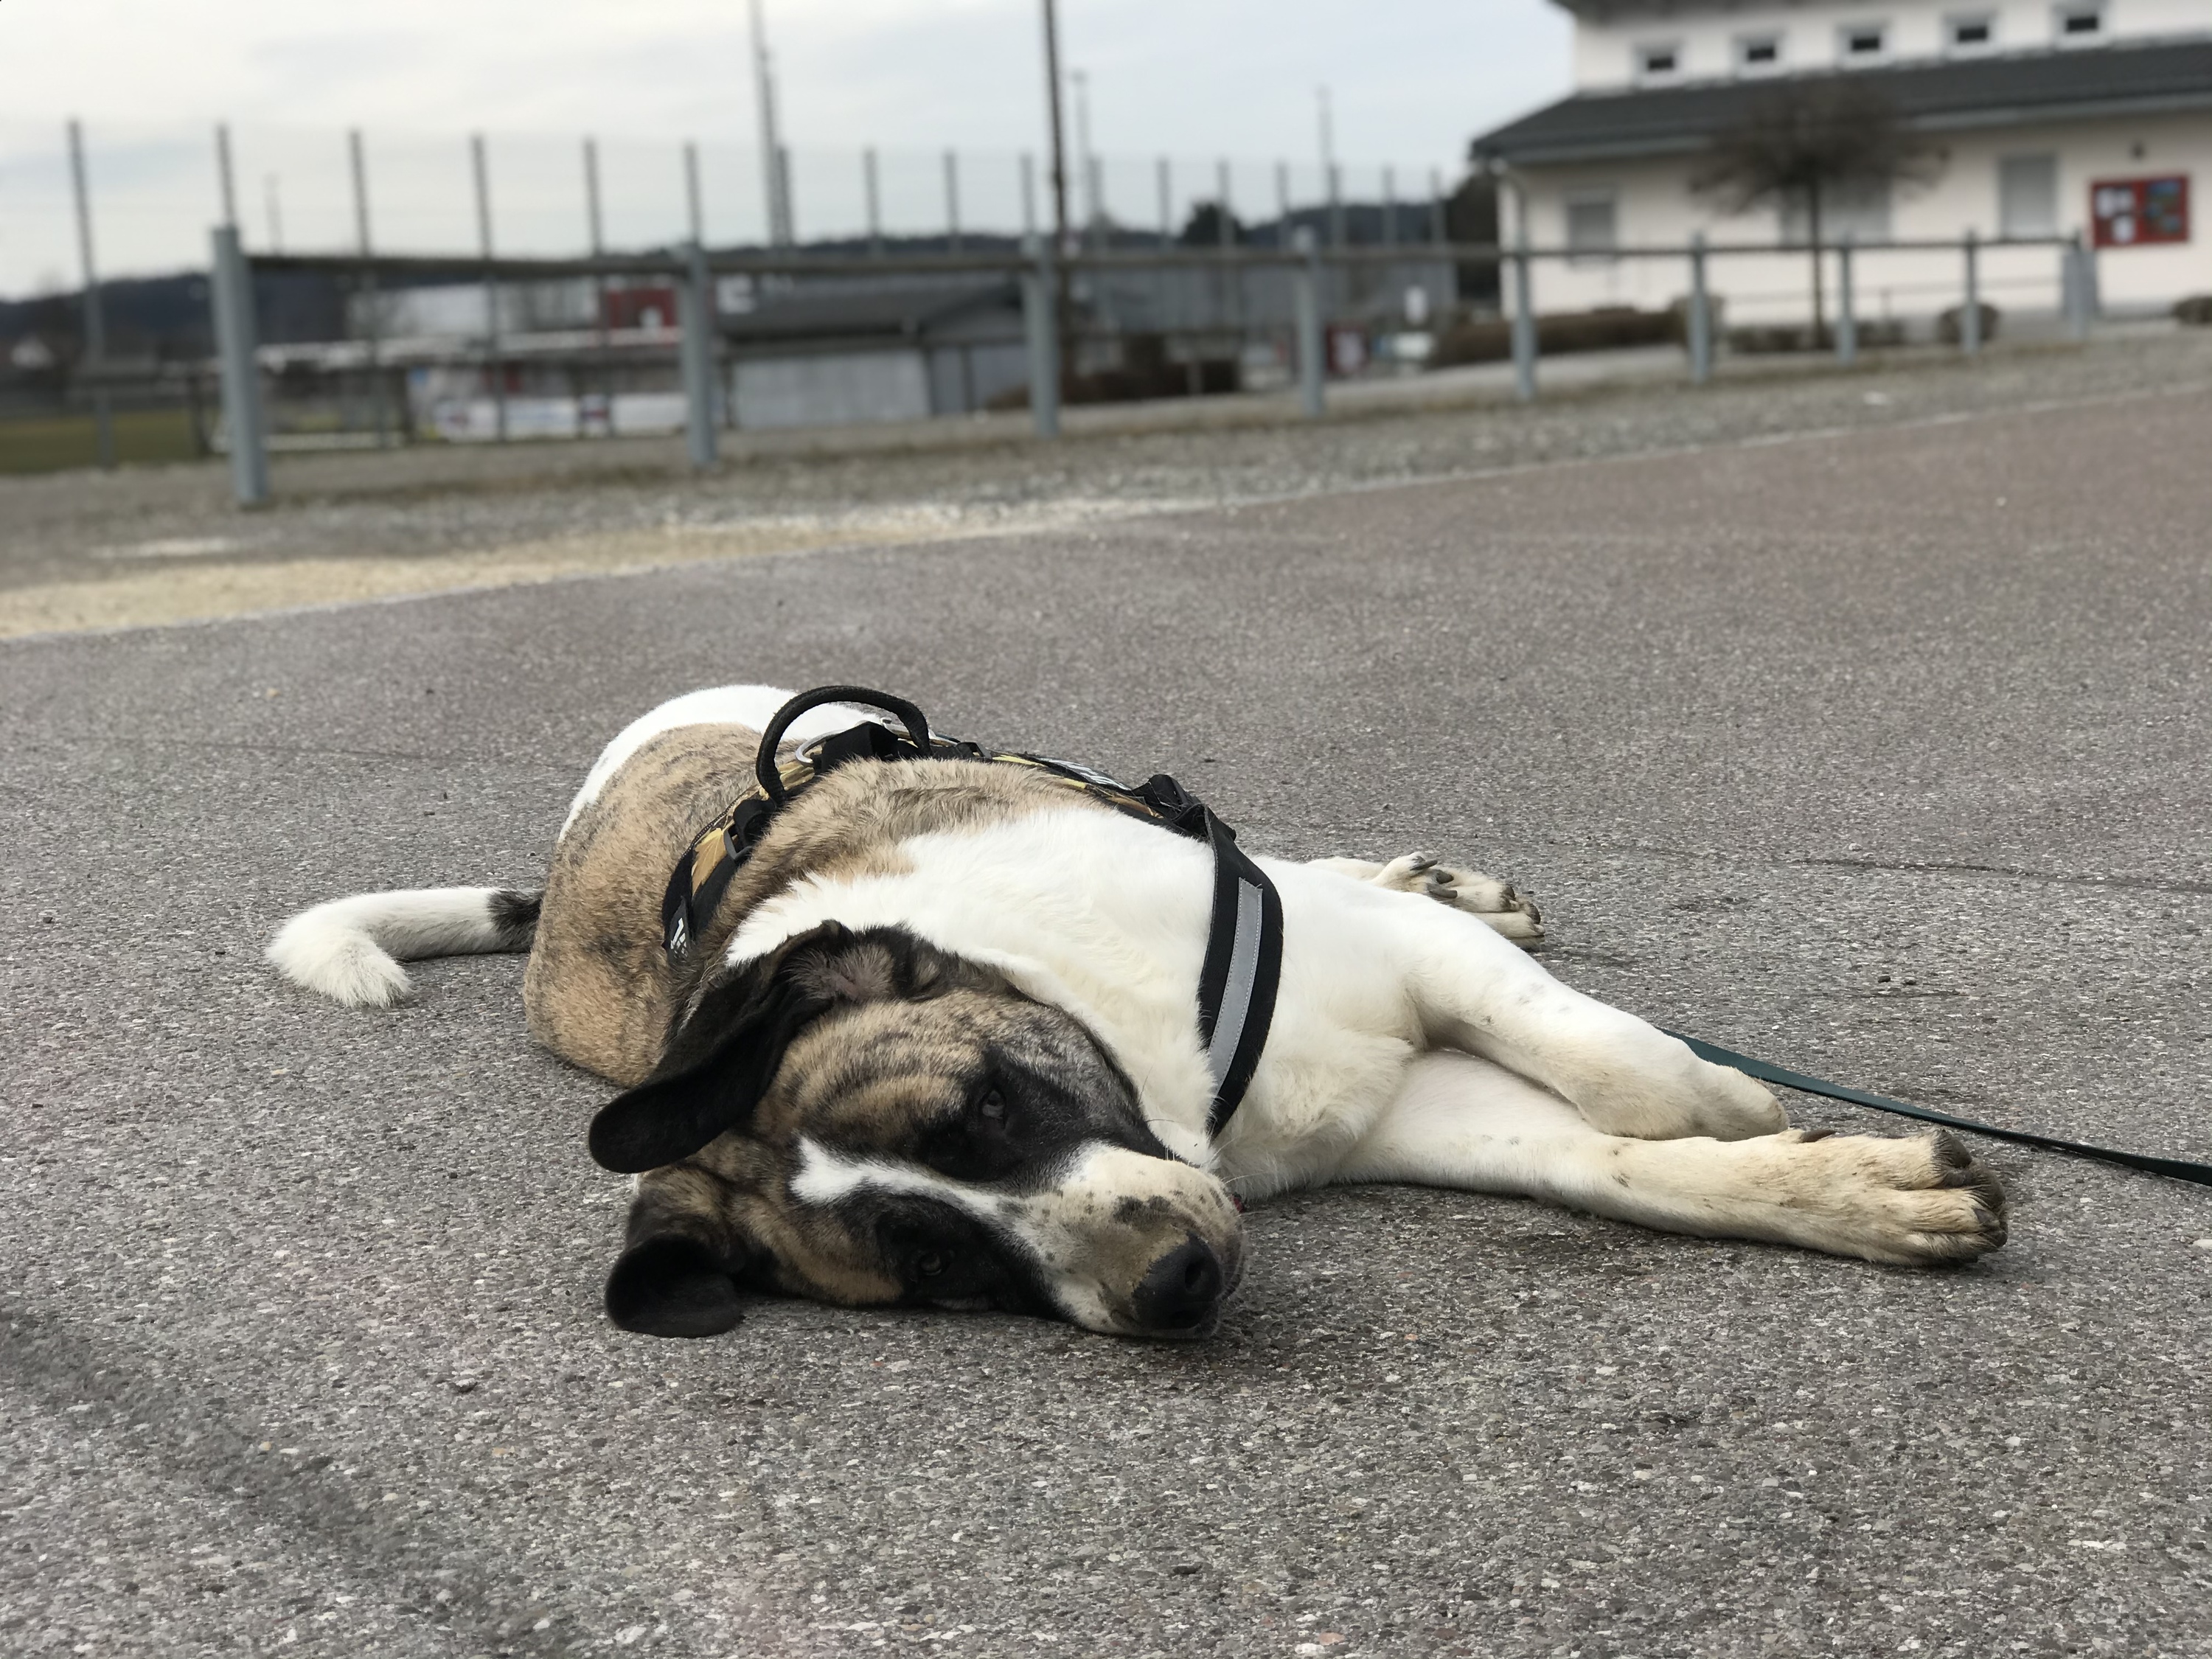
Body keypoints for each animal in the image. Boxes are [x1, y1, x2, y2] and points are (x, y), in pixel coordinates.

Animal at [272, 681, 2008, 1345]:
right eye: (942, 1270)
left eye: (990, 1106)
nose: (1172, 1287)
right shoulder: (1412, 1104)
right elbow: (1615, 1160)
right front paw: (1854, 1189)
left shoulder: (1388, 967)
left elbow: (1627, 1081)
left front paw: (1746, 1114)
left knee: (1303, 858)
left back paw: (1443, 877)